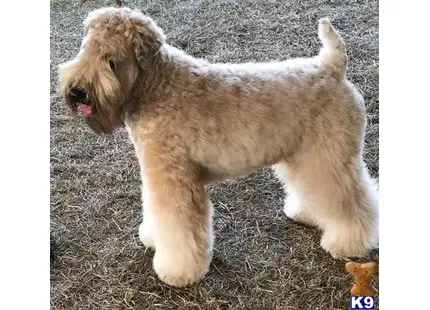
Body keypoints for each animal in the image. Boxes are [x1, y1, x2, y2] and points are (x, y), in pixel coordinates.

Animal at [58, 7, 378, 286]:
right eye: (84, 48)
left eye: (110, 59)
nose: (77, 92)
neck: (157, 87)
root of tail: (333, 68)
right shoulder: (155, 174)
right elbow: (153, 209)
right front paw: (152, 236)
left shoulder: (176, 182)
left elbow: (179, 229)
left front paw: (177, 271)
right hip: (305, 157)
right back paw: (307, 213)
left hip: (330, 157)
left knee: (354, 202)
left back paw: (347, 243)